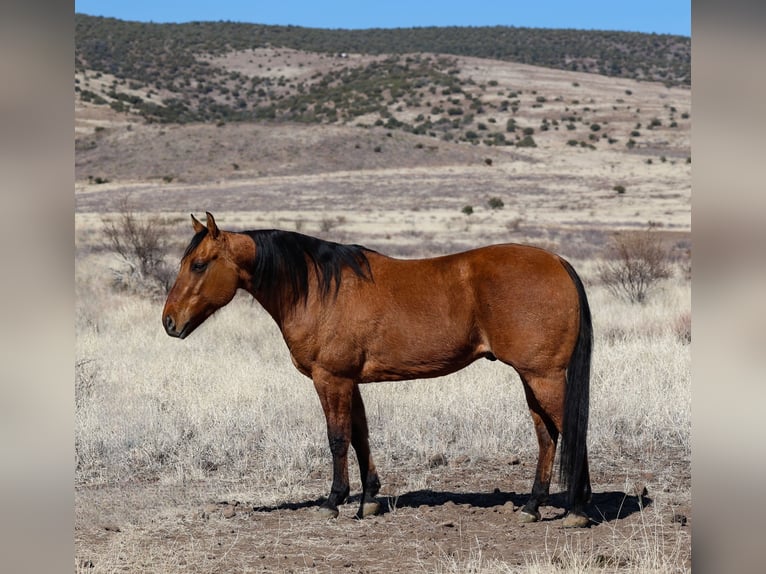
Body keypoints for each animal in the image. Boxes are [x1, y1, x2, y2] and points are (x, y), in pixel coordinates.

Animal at [162, 214, 592, 528]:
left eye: (198, 265)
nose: (169, 322)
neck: (318, 289)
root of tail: (559, 262)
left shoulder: (331, 379)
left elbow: (337, 439)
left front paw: (334, 501)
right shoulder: (350, 381)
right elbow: (360, 437)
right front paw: (368, 499)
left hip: (543, 376)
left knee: (570, 432)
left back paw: (578, 510)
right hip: (531, 377)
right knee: (547, 437)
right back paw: (532, 506)